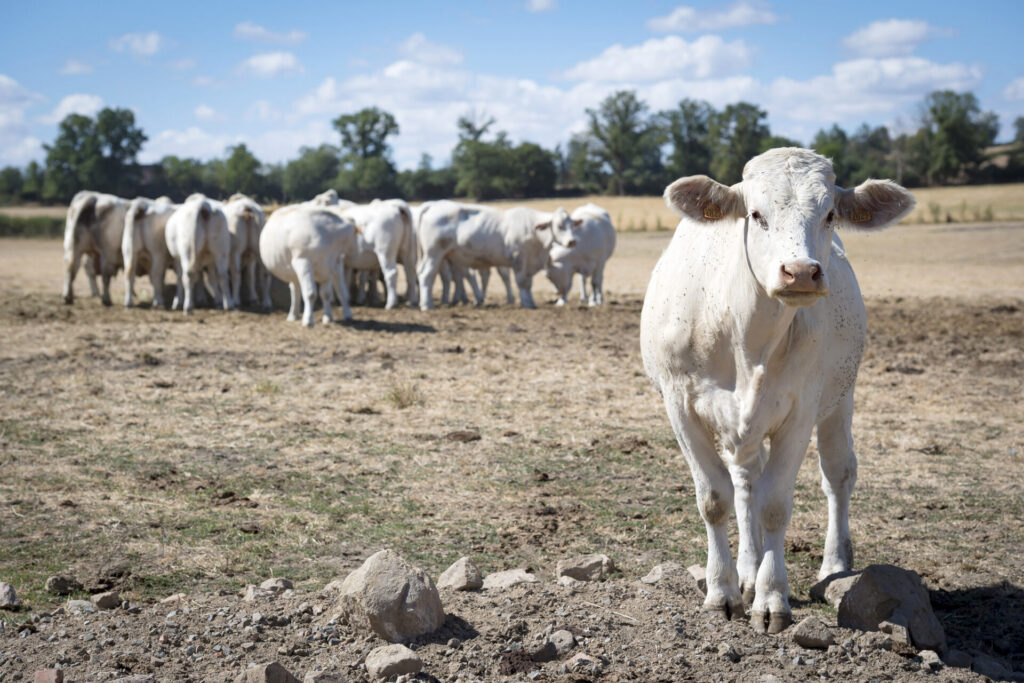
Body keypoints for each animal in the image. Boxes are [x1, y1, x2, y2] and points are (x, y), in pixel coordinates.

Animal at [416, 201, 579, 310]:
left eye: (572, 225)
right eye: (559, 226)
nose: (572, 241)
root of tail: (434, 205)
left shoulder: (529, 262)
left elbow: (528, 283)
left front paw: (531, 302)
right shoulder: (519, 259)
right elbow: (522, 283)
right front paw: (527, 304)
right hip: (434, 254)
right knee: (426, 275)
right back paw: (427, 305)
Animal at [640, 148, 914, 634]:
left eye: (830, 214)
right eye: (756, 214)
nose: (801, 272)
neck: (745, 337)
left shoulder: (801, 409)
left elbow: (774, 506)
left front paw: (771, 599)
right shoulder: (679, 404)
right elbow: (716, 499)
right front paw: (723, 591)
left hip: (840, 399)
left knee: (837, 473)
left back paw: (833, 564)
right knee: (745, 479)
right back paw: (746, 571)